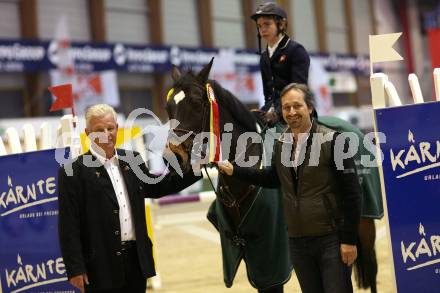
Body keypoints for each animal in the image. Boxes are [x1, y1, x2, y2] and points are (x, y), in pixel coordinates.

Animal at [165, 58, 378, 290]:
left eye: (196, 103)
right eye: (168, 108)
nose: (174, 156)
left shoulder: (270, 262)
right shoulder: (253, 257)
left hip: (364, 223)